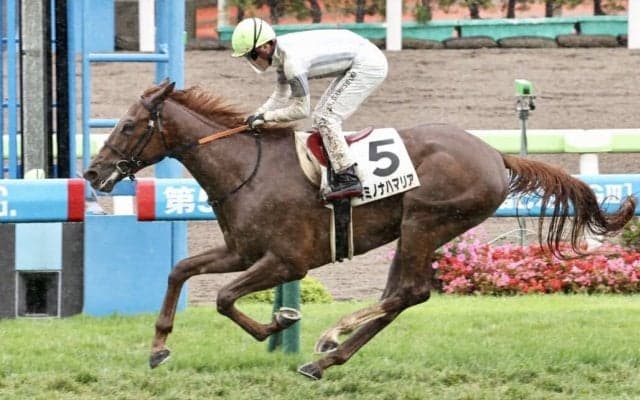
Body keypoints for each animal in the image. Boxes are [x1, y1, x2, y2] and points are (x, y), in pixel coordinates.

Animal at [84, 80, 636, 380]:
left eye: (128, 125)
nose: (92, 173)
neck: (248, 167)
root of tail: (495, 154)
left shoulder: (287, 261)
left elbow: (222, 298)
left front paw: (281, 321)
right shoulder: (242, 252)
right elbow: (180, 271)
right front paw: (158, 347)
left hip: (424, 220)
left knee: (407, 292)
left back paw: (329, 339)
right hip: (419, 231)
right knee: (398, 296)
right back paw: (326, 358)